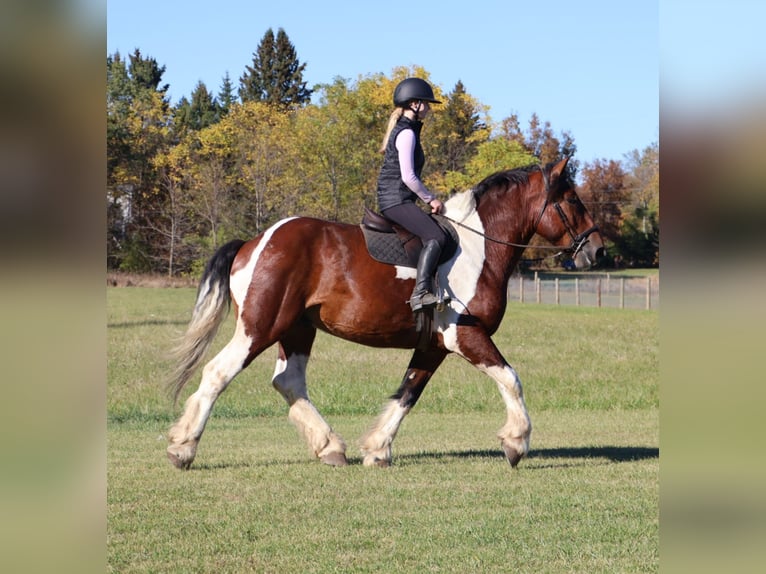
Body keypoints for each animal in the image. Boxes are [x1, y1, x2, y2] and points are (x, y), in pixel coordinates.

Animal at [165, 156, 604, 470]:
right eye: (572, 200)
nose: (597, 249)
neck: (478, 248)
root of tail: (253, 242)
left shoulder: (434, 345)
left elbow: (408, 392)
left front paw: (377, 449)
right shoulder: (465, 335)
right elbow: (511, 379)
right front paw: (516, 442)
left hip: (297, 329)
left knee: (289, 381)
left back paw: (330, 447)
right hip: (260, 326)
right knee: (218, 373)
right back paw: (183, 448)